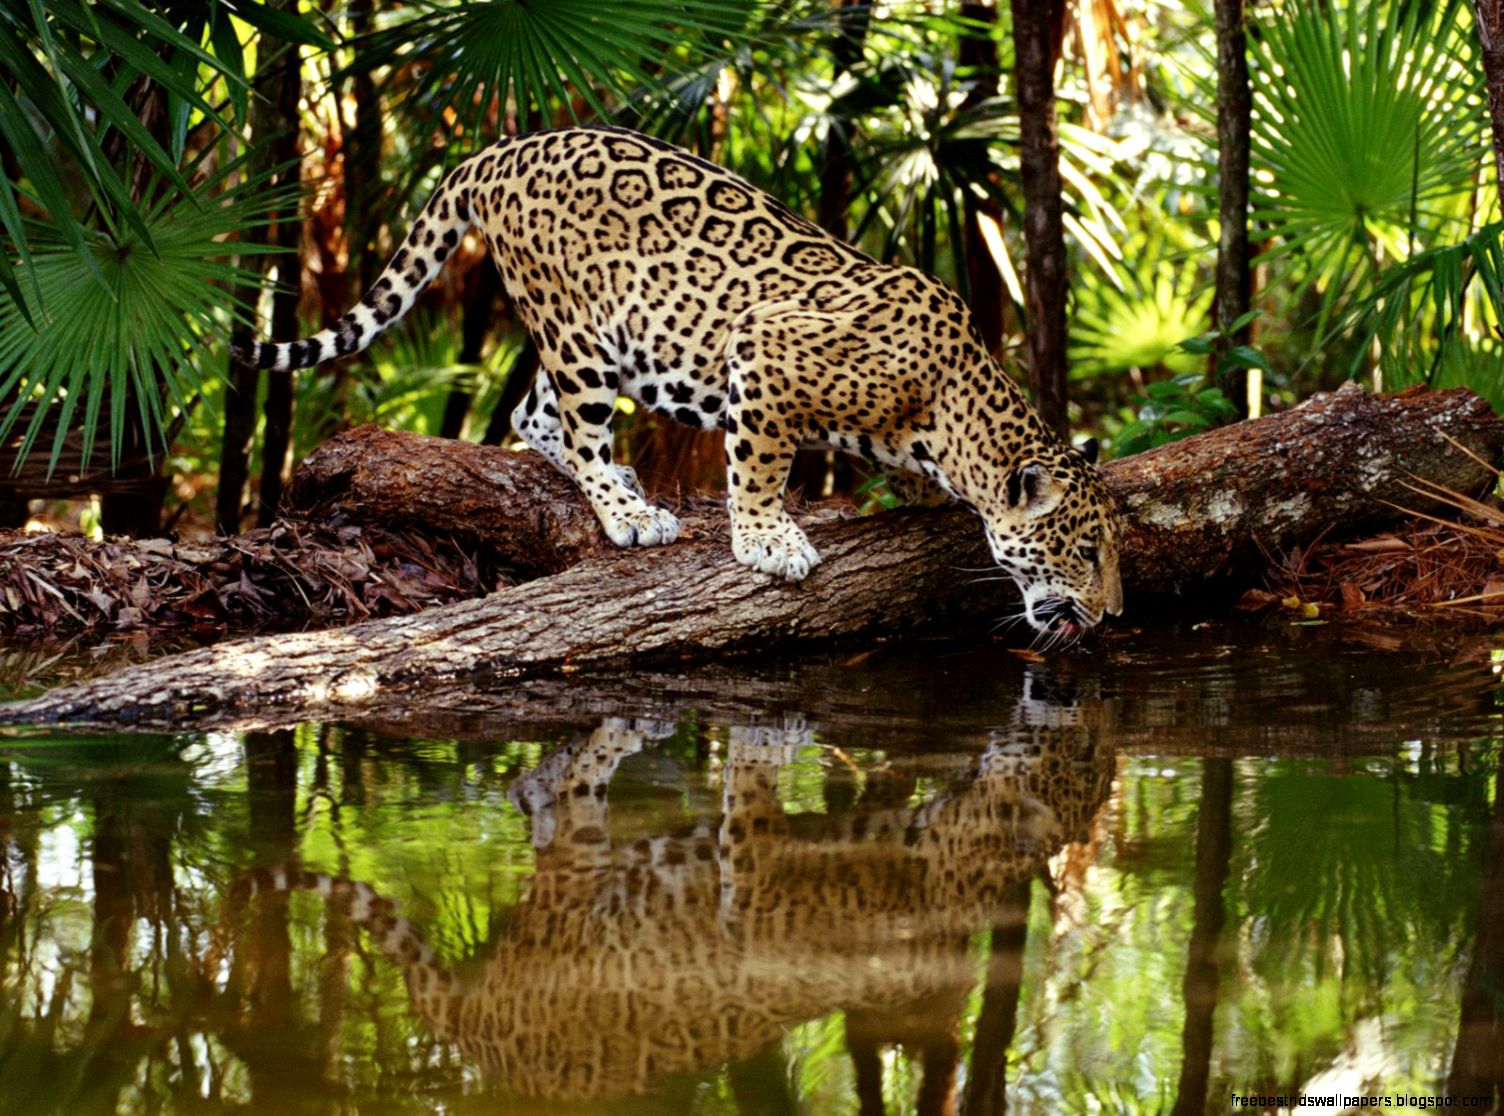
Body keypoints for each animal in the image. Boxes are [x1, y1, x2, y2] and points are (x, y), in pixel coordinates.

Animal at [229, 708, 1116, 1103]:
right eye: (1077, 770)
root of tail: (478, 1038)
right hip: (578, 900)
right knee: (571, 799)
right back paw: (621, 736)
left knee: (549, 796)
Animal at [231, 125, 1123, 635]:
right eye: (1083, 549)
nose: (1113, 613)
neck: (953, 407)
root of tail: (499, 149)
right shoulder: (765, 348)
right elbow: (759, 465)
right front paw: (768, 538)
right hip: (578, 330)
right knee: (576, 422)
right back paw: (628, 511)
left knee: (529, 412)